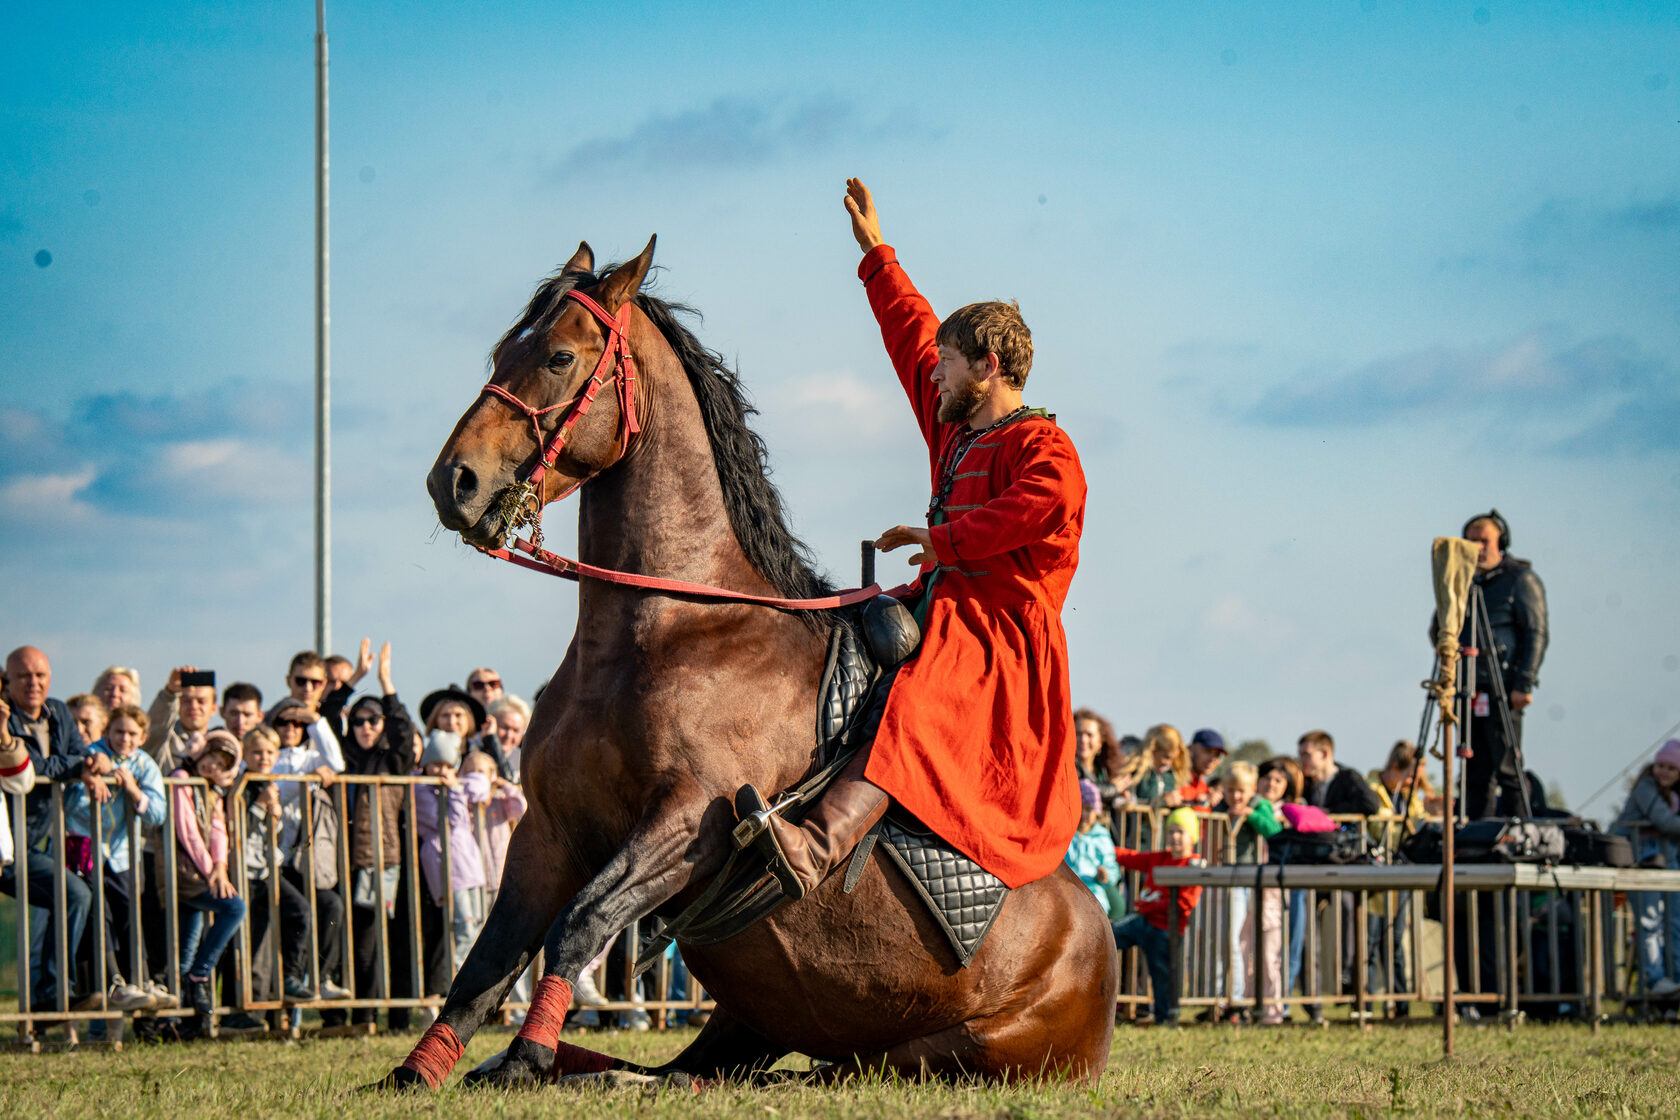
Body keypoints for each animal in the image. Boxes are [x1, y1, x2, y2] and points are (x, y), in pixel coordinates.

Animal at [394, 241, 1122, 1088]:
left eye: (558, 356)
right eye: (502, 353)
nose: (454, 482)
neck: (669, 629)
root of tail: (1100, 946)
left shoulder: (686, 824)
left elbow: (579, 923)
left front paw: (526, 1055)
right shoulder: (546, 831)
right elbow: (487, 960)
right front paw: (423, 1069)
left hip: (941, 1054)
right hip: (750, 1018)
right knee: (693, 1067)